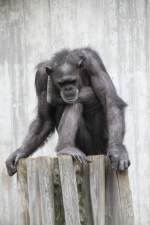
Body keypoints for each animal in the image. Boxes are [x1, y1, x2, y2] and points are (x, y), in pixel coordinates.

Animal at [5, 48, 130, 177]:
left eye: (72, 81)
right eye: (61, 83)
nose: (68, 89)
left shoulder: (94, 64)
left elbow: (110, 100)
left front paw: (117, 151)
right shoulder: (40, 76)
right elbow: (44, 120)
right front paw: (19, 153)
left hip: (98, 143)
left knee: (76, 103)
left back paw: (65, 147)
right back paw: (65, 148)